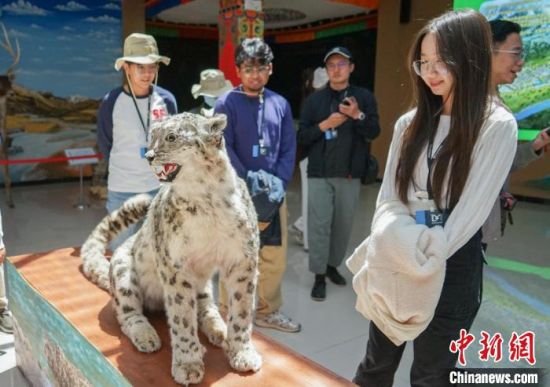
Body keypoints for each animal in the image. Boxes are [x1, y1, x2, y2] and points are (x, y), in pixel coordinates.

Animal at [80, 112, 264, 384]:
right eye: (152, 137)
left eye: (171, 137)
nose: (149, 156)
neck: (207, 199)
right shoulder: (175, 266)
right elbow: (181, 315)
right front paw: (188, 364)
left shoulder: (242, 260)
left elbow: (241, 311)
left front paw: (242, 353)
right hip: (124, 272)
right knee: (127, 313)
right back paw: (148, 336)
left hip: (204, 285)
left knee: (205, 308)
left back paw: (219, 331)